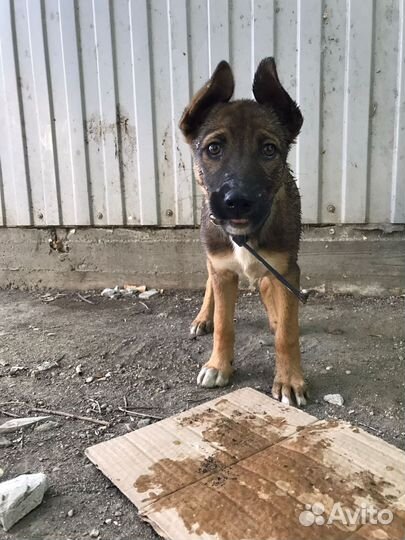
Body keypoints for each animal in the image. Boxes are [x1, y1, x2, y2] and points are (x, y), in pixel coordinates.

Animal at [180, 58, 306, 404]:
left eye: (268, 150)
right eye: (213, 148)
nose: (236, 202)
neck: (243, 236)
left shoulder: (287, 269)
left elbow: (288, 332)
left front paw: (290, 380)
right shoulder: (222, 268)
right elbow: (225, 324)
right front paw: (217, 365)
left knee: (267, 289)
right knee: (209, 281)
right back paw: (203, 318)